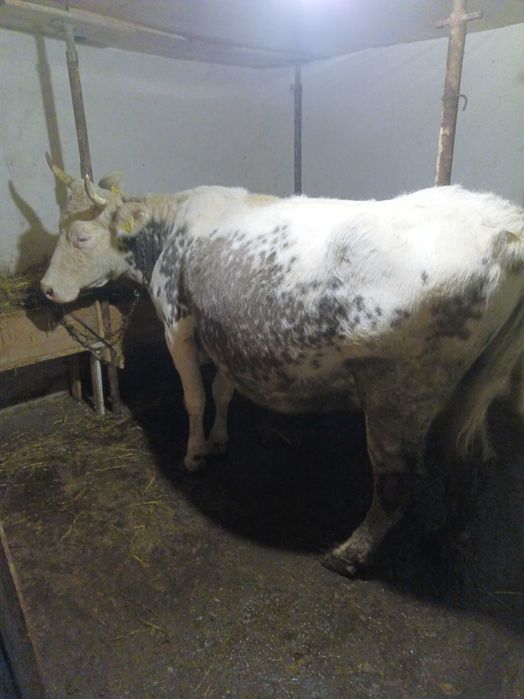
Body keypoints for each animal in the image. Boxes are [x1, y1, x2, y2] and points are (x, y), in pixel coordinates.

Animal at [41, 158, 524, 577]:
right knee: (467, 457)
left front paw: (195, 453)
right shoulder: (225, 331)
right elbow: (222, 391)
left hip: (398, 391)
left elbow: (194, 396)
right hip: (470, 385)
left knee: (398, 480)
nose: (45, 288)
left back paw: (349, 555)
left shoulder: (177, 324)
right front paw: (219, 439)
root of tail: (503, 223)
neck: (167, 231)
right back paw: (449, 537)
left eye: (81, 236)